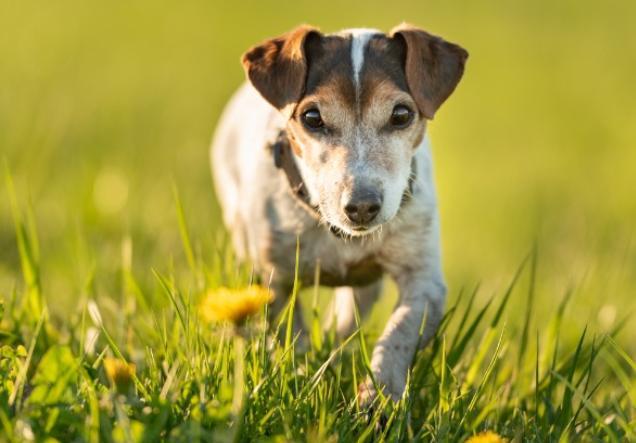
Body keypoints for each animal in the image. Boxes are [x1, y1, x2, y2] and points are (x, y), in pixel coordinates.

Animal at [211, 25, 464, 406]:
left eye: (401, 114)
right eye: (312, 117)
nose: (361, 205)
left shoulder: (424, 281)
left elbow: (398, 335)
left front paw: (379, 396)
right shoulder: (274, 279)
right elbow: (292, 336)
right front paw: (303, 378)